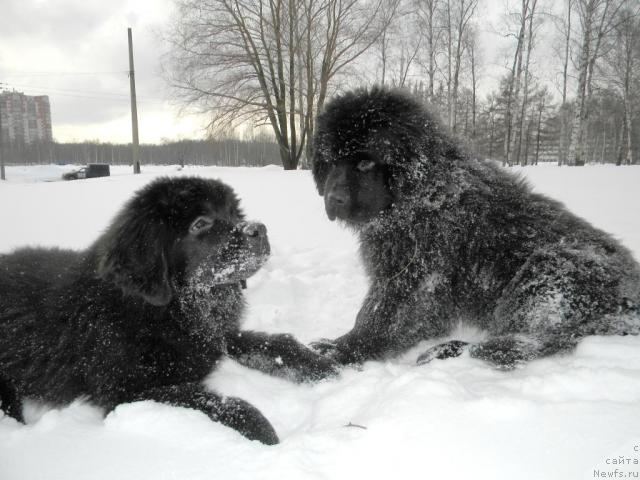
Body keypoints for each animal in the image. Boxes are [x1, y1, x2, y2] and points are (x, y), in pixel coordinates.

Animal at [0, 175, 338, 442]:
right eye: (200, 224)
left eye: (232, 213)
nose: (260, 229)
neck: (168, 312)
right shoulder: (129, 392)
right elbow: (214, 400)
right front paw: (262, 430)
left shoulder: (213, 338)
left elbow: (272, 344)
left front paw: (322, 366)